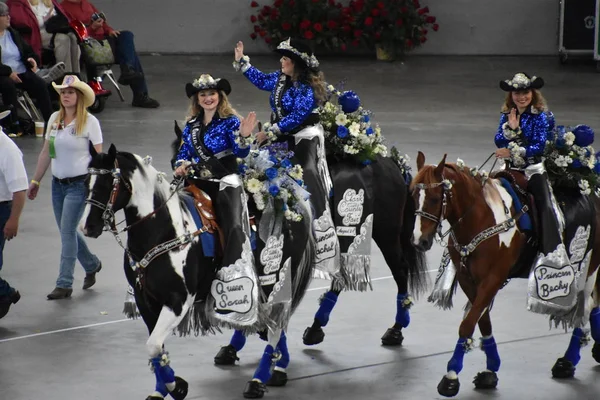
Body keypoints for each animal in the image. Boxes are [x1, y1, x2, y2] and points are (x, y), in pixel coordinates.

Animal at [410, 152, 600, 398]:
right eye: (413, 195)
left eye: (434, 198)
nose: (418, 241)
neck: (481, 217)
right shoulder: (468, 280)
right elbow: (482, 320)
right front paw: (491, 370)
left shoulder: (493, 278)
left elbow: (467, 324)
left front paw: (451, 377)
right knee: (593, 306)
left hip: (590, 267)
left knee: (586, 307)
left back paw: (567, 361)